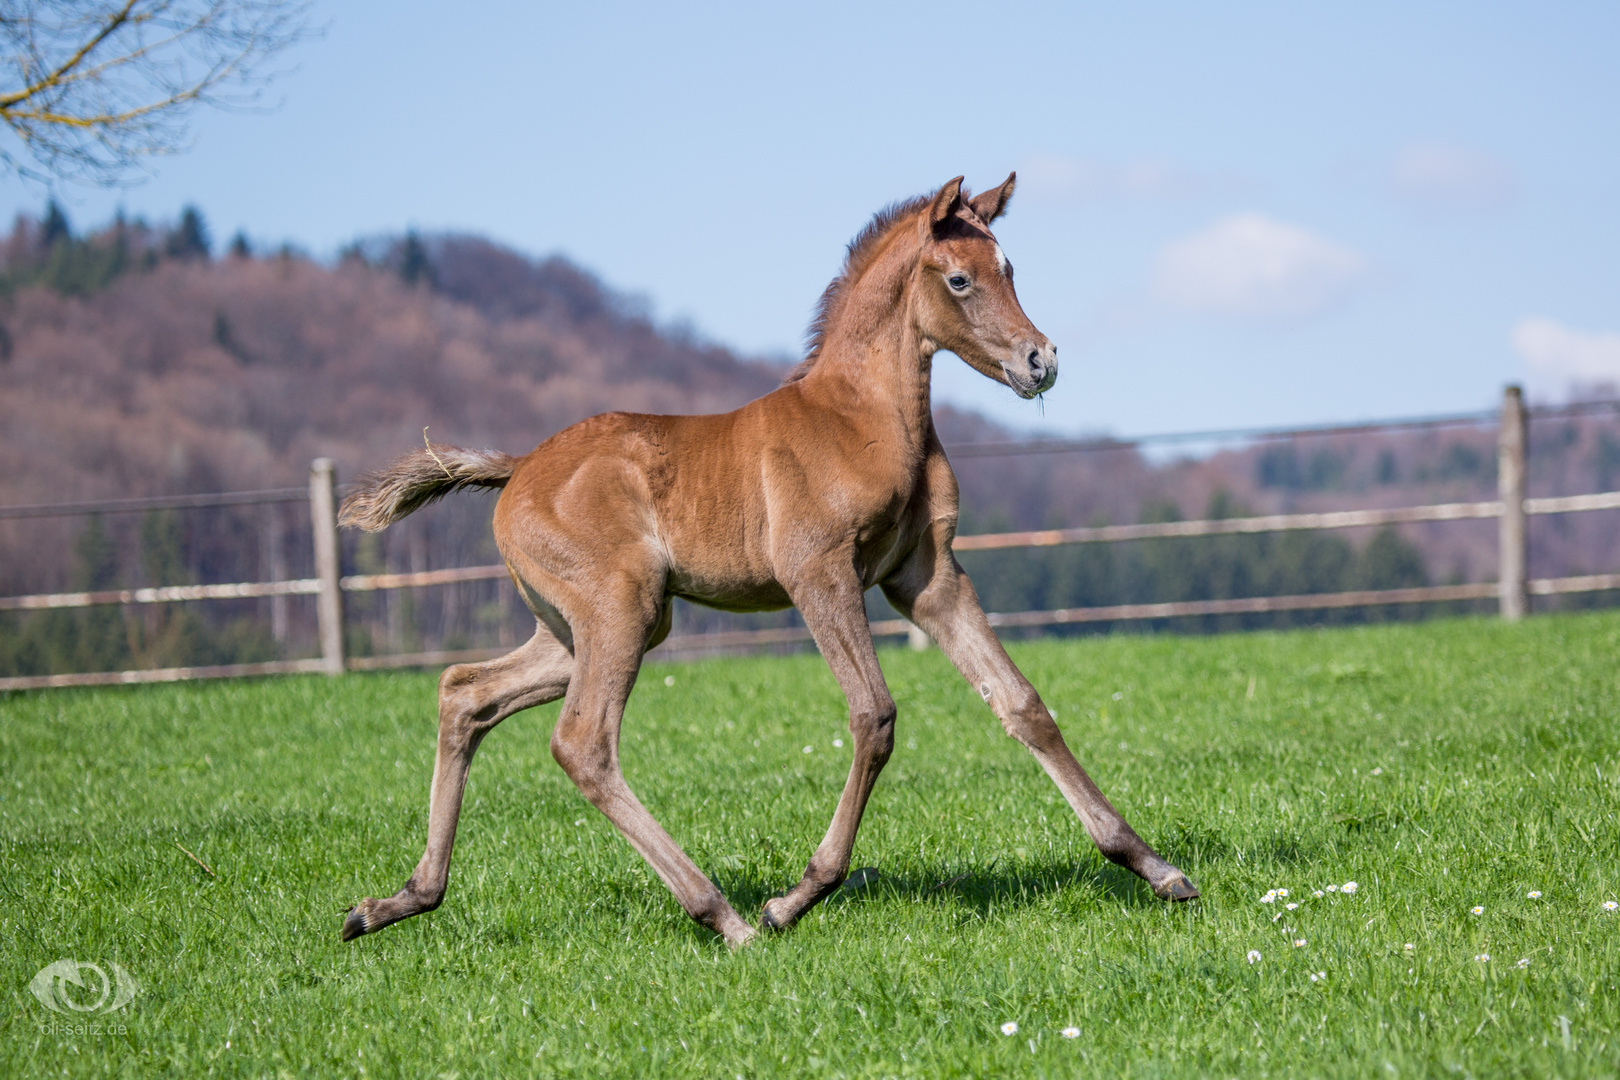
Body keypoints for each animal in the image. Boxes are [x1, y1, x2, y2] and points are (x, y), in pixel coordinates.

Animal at [335, 173, 1198, 952]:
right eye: (960, 279)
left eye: (1010, 269)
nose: (1039, 360)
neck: (864, 420)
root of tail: (517, 471)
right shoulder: (819, 575)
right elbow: (874, 716)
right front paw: (799, 897)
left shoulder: (927, 579)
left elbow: (1021, 704)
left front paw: (1154, 867)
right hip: (619, 609)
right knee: (582, 742)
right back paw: (729, 918)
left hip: (589, 627)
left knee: (465, 694)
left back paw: (396, 901)